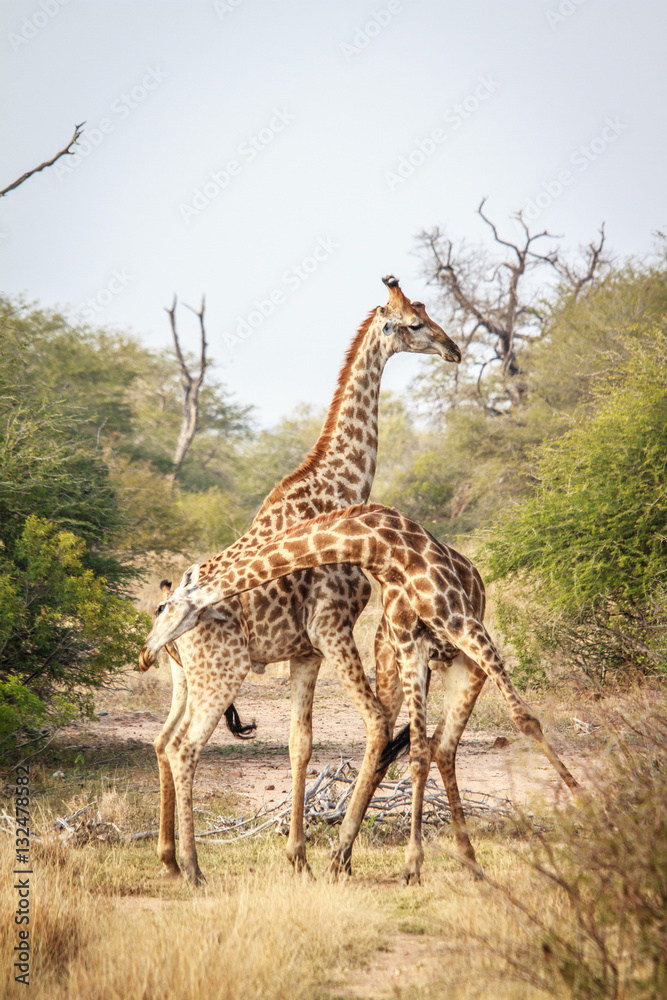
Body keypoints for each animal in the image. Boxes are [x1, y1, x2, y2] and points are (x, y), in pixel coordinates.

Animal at [140, 502, 578, 884]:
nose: (146, 653)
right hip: (401, 661)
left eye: (163, 608)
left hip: (461, 662)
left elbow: (526, 719)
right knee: (419, 744)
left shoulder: (464, 624)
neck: (384, 547)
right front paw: (411, 864)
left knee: (437, 743)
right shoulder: (409, 646)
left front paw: (587, 805)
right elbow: (415, 754)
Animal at [145, 277, 461, 884]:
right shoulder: (332, 627)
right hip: (222, 672)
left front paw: (299, 857)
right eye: (414, 323)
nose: (454, 349)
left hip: (184, 679)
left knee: (162, 740)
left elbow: (301, 744)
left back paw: (170, 858)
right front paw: (337, 855)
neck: (340, 487)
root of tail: (164, 622)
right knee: (184, 748)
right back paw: (194, 868)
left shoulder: (305, 651)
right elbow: (376, 724)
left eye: (428, 312)